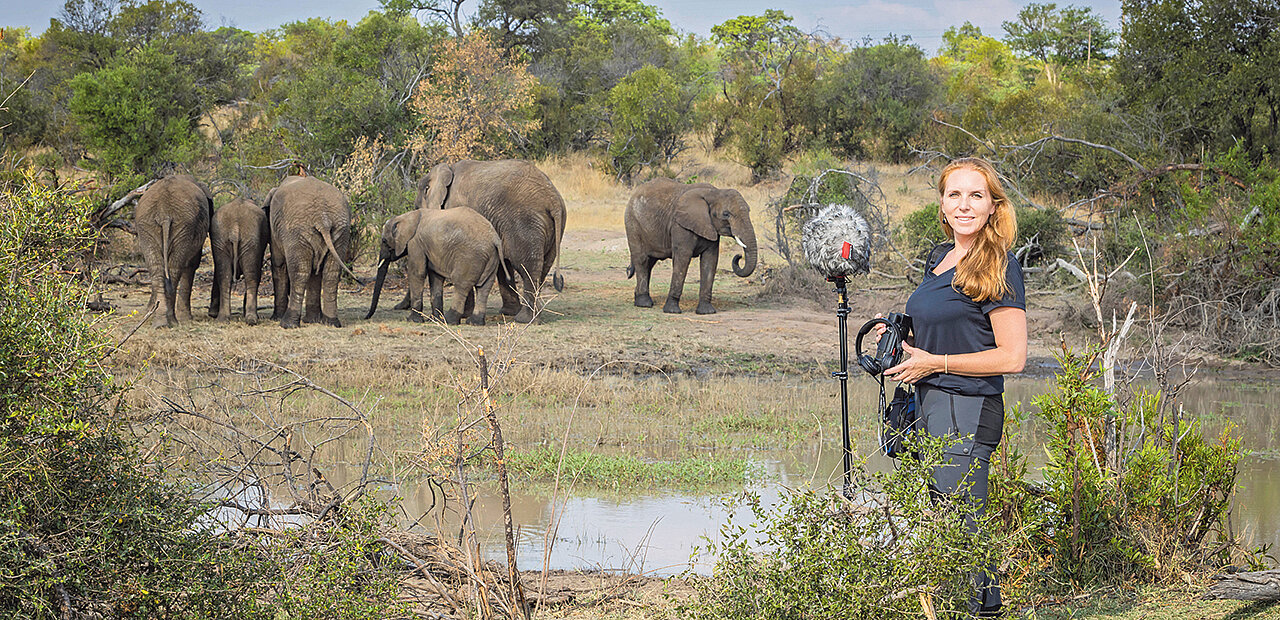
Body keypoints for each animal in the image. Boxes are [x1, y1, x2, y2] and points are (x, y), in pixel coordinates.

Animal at [133, 174, 212, 330]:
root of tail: (164, 213)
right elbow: (192, 265)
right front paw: (186, 319)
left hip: (150, 225)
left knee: (158, 269)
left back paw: (161, 323)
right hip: (181, 225)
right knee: (175, 269)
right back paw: (171, 321)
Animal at [263, 174, 355, 330]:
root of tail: (323, 219)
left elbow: (279, 264)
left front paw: (276, 318)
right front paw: (312, 320)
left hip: (297, 232)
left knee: (300, 273)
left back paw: (287, 324)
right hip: (341, 232)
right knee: (331, 273)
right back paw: (331, 322)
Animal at [366, 207, 509, 324]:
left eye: (384, 241)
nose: (366, 317)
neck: (407, 216)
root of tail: (495, 238)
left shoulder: (416, 243)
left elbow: (417, 273)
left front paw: (414, 320)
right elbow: (435, 277)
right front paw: (435, 319)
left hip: (470, 257)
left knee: (461, 285)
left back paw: (449, 320)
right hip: (491, 258)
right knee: (484, 287)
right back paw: (474, 322)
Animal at [414, 160, 565, 324]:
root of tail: (553, 200)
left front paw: (464, 315)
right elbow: (501, 265)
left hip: (525, 223)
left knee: (528, 267)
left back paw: (524, 319)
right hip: (552, 229)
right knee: (543, 266)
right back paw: (531, 316)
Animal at [622, 178, 752, 315]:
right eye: (726, 214)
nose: (739, 256)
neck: (714, 192)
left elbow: (710, 260)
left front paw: (706, 312)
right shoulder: (680, 226)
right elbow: (683, 258)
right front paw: (672, 311)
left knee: (650, 262)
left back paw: (640, 299)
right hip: (632, 223)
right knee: (642, 259)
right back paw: (644, 304)